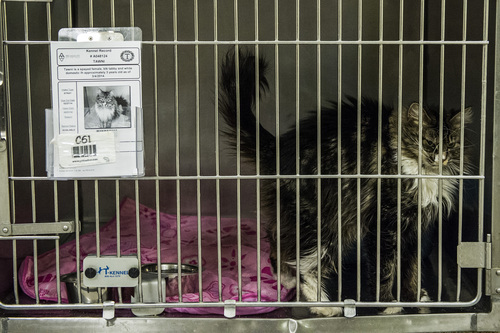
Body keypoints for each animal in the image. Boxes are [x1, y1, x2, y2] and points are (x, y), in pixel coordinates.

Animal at [219, 50, 472, 316]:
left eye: (452, 143)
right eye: (428, 142)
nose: (442, 158)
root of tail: (278, 148)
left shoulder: (413, 229)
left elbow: (412, 269)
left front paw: (415, 298)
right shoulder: (385, 224)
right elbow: (385, 270)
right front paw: (388, 305)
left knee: (279, 244)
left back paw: (286, 282)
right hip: (324, 223)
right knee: (305, 266)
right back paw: (324, 306)